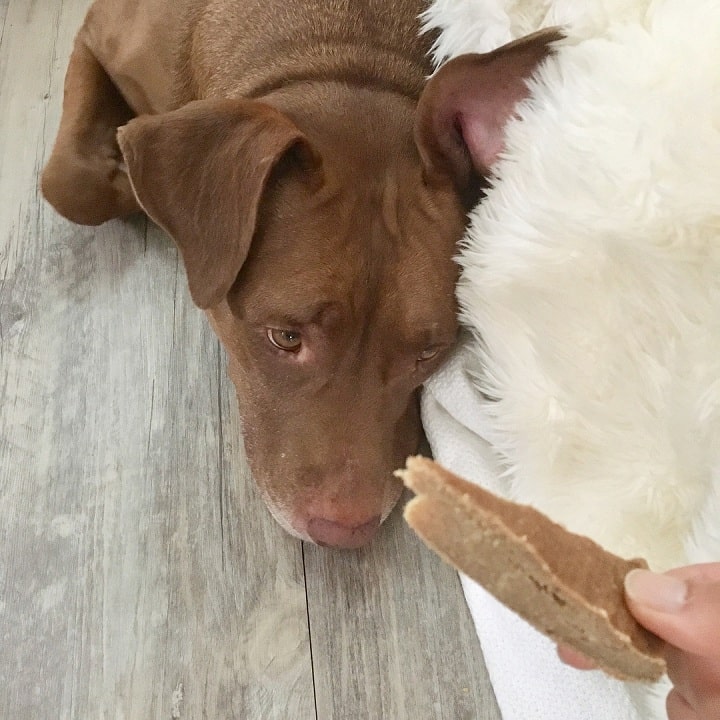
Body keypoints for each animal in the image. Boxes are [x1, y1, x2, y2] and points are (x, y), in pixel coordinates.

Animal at [42, 0, 560, 548]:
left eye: (428, 353)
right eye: (286, 338)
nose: (344, 532)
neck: (337, 59)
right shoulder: (96, 29)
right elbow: (71, 182)